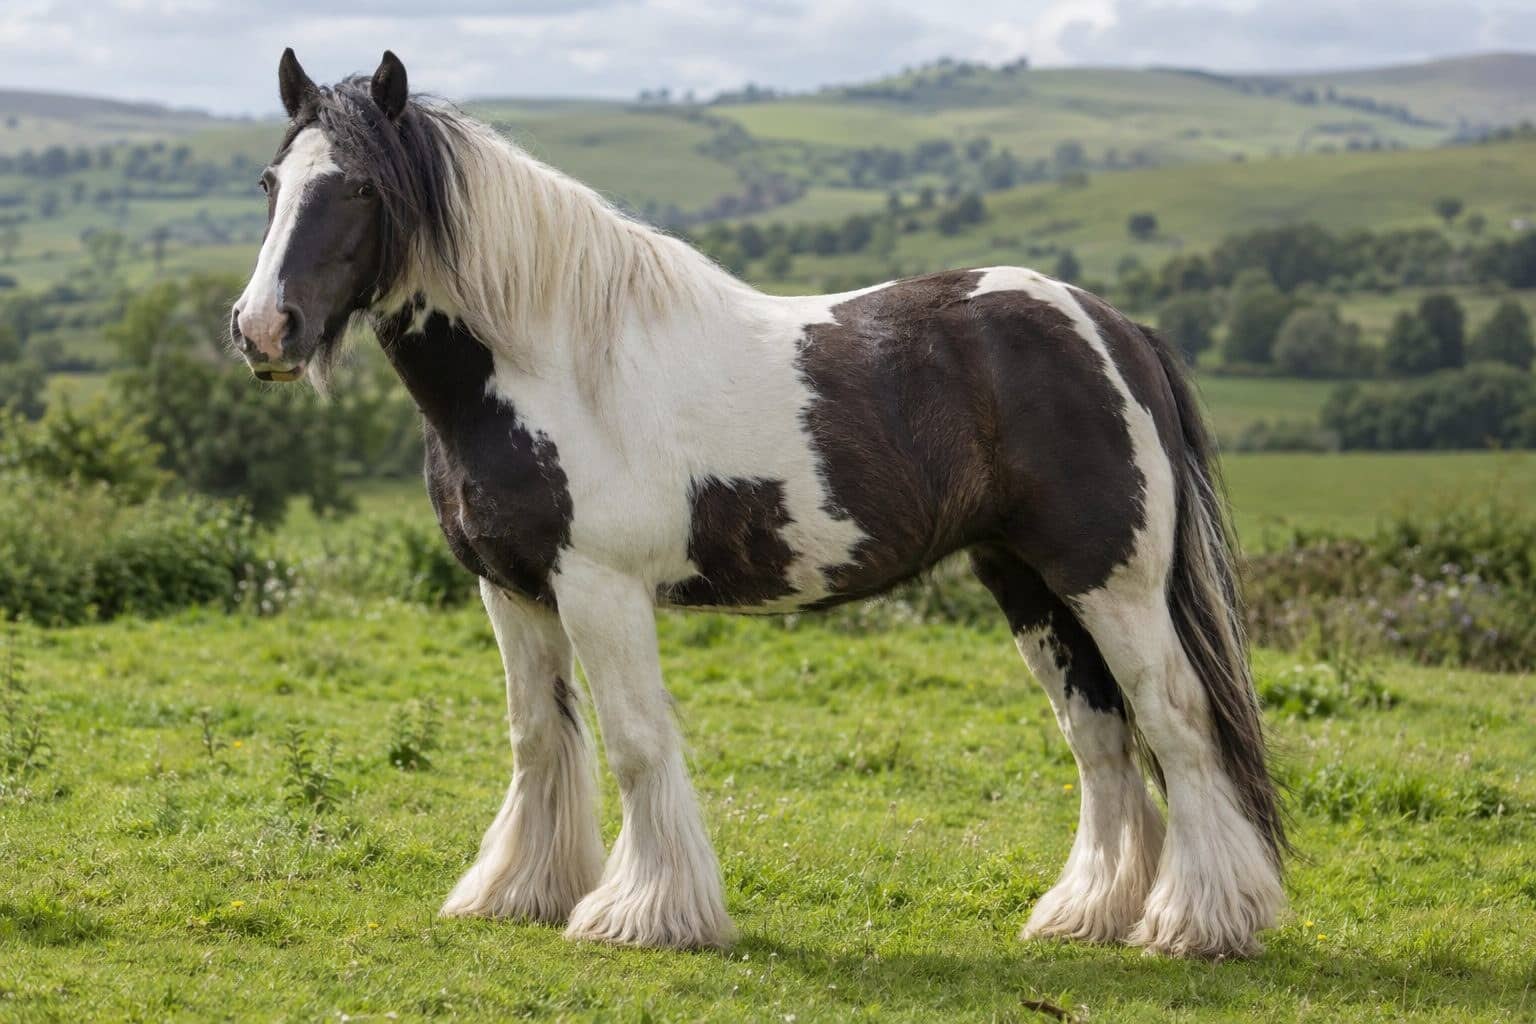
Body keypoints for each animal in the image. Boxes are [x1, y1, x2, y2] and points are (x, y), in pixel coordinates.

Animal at [231, 49, 1286, 959]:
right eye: (273, 186)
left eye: (361, 189)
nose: (262, 330)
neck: (552, 362)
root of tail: (1116, 327)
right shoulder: (513, 587)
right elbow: (539, 738)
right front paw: (518, 894)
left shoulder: (600, 587)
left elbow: (635, 743)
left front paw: (646, 915)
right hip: (1029, 583)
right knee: (1101, 737)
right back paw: (1089, 914)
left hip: (1110, 581)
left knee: (1176, 721)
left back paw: (1198, 923)